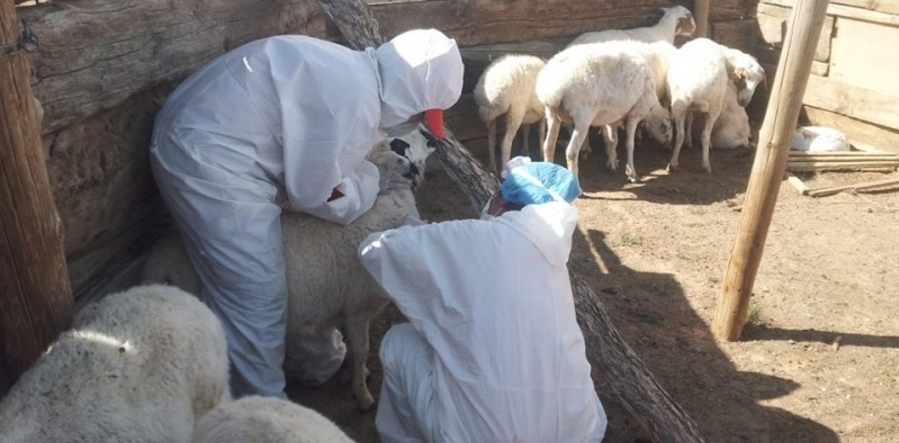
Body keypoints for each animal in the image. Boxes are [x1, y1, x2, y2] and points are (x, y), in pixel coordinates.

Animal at [536, 42, 672, 185]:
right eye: (668, 129)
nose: (668, 148)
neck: (651, 108)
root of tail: (553, 90)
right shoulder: (634, 115)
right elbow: (629, 145)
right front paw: (631, 173)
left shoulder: (613, 119)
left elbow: (613, 141)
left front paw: (611, 164)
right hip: (582, 118)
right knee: (571, 152)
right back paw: (576, 184)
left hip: (552, 115)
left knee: (548, 146)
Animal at [668, 38, 768, 173]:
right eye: (744, 78)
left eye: (758, 83)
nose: (744, 102)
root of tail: (697, 88)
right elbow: (691, 119)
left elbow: (690, 119)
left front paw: (689, 141)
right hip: (707, 108)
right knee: (702, 135)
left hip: (686, 106)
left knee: (684, 135)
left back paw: (678, 162)